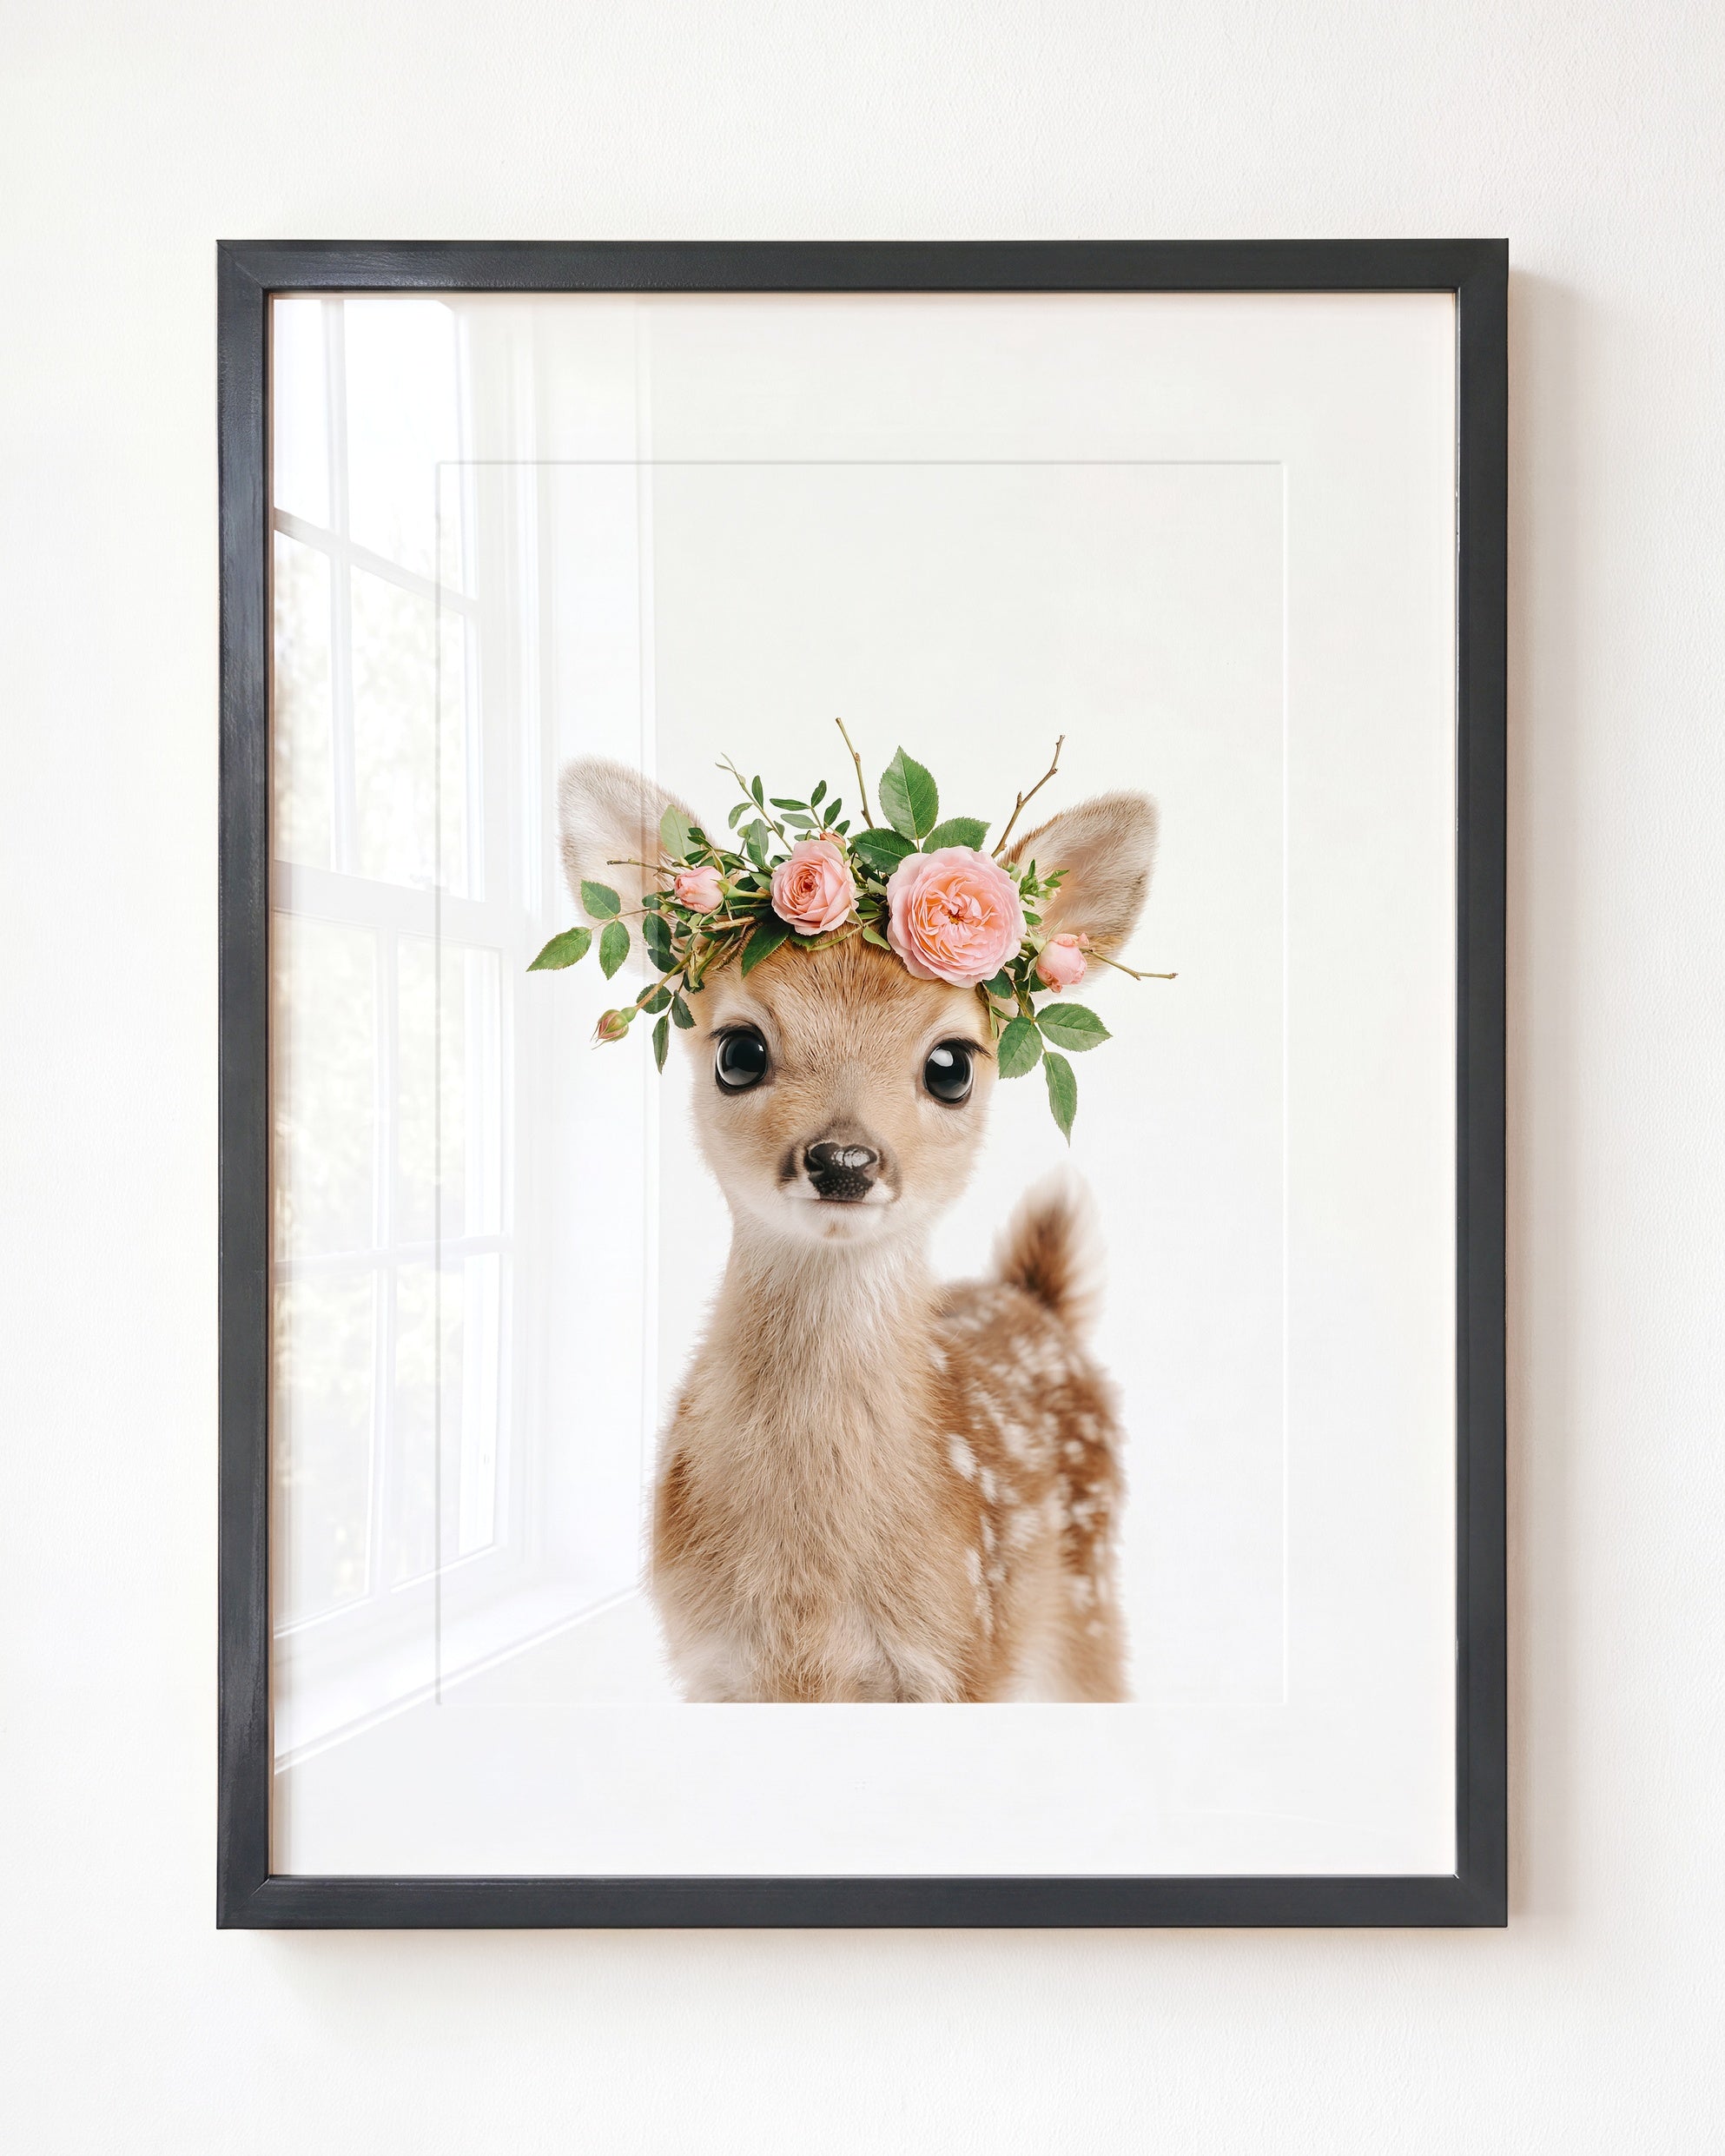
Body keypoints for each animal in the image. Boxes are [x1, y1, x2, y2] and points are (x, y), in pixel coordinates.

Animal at [558, 756, 1158, 1702]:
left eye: (951, 1065)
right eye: (738, 1052)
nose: (843, 1158)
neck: (809, 1597)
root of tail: (1037, 1300)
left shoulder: (960, 1653)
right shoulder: (712, 1664)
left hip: (1085, 1603)